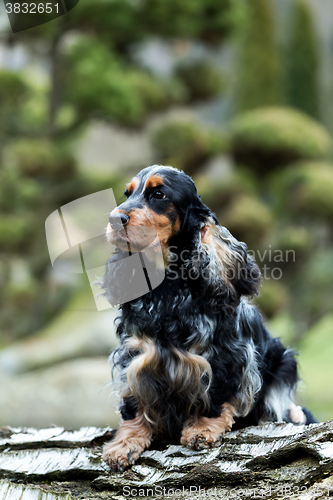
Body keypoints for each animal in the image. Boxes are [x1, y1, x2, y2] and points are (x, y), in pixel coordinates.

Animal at [100, 165, 316, 472]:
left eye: (159, 194)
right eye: (127, 194)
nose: (114, 220)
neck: (169, 290)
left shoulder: (224, 353)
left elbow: (217, 391)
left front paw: (202, 429)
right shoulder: (134, 355)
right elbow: (133, 403)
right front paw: (125, 443)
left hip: (283, 362)